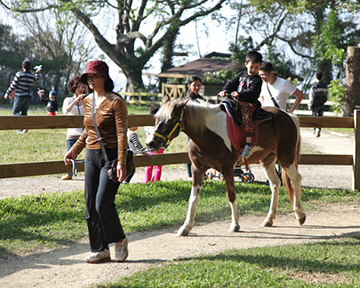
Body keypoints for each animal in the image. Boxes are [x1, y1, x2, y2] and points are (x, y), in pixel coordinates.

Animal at [145, 98, 306, 236]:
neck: (207, 134)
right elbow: (193, 198)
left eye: (170, 120)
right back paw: (269, 219)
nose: (150, 143)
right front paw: (186, 227)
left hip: (286, 158)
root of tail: (289, 116)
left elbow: (231, 195)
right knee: (275, 184)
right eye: (156, 119)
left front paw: (235, 224)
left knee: (296, 180)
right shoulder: (197, 169)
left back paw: (300, 214)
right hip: (267, 160)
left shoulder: (228, 169)